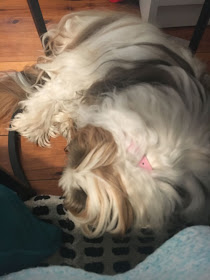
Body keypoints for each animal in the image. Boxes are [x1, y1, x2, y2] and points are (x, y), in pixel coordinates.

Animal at [0, 10, 210, 237]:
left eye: (81, 193)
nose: (65, 195)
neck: (145, 159)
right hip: (85, 66)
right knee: (53, 90)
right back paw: (34, 123)